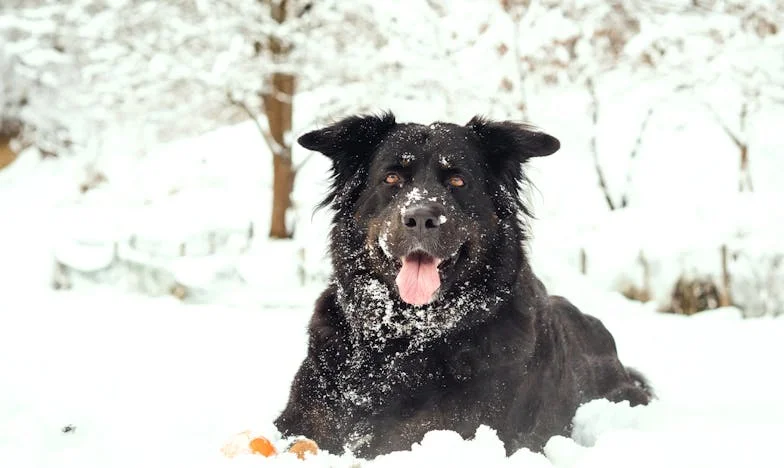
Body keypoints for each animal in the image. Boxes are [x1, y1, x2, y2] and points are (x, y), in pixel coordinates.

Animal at [274, 112, 648, 458]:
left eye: (457, 180)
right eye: (392, 177)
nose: (421, 218)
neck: (404, 337)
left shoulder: (441, 430)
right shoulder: (300, 421)